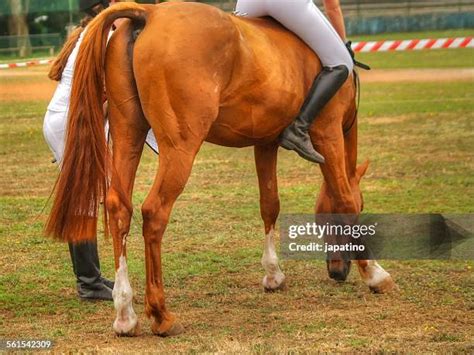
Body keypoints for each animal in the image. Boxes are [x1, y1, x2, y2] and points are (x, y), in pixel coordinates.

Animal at [46, 2, 396, 336]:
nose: (336, 272)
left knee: (119, 207)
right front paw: (375, 274)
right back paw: (161, 316)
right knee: (155, 212)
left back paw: (125, 316)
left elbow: (269, 204)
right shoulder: (328, 133)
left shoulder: (265, 142)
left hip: (127, 132)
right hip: (180, 146)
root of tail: (150, 12)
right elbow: (345, 199)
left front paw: (273, 275)